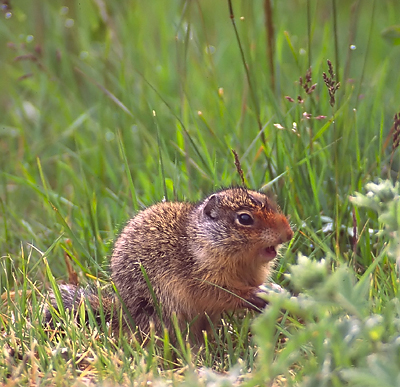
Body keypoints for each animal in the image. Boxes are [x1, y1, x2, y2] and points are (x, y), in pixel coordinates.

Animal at [45, 188, 294, 342]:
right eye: (245, 218)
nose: (289, 234)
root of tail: (124, 313)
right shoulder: (203, 278)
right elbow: (221, 293)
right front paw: (254, 295)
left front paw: (276, 293)